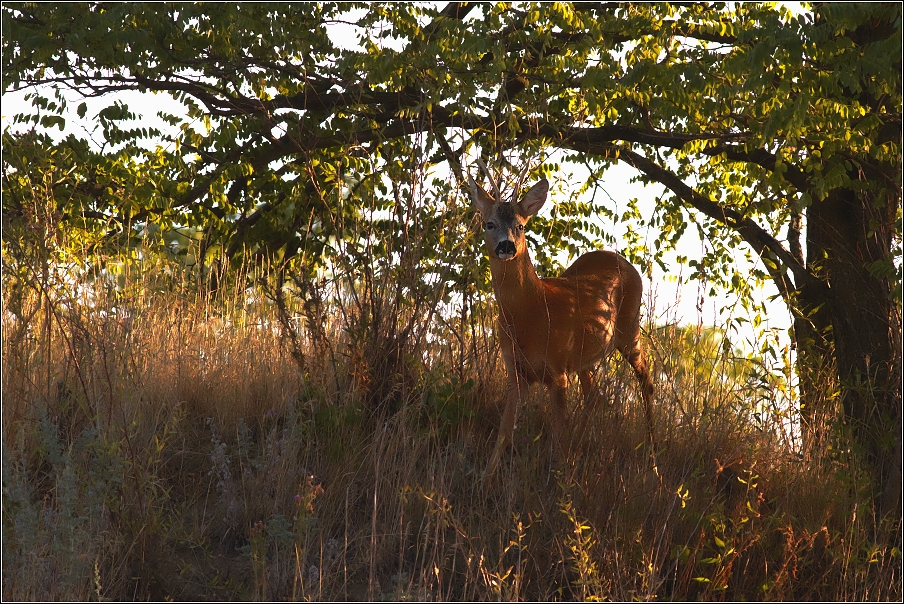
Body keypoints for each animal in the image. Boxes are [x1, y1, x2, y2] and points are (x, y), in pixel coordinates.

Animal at [470, 169, 652, 476]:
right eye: (489, 223)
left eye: (520, 226)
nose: (506, 246)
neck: (531, 314)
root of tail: (622, 260)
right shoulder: (515, 370)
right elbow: (505, 429)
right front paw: (485, 478)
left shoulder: (558, 369)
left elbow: (558, 432)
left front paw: (561, 478)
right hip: (585, 356)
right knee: (594, 395)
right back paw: (580, 453)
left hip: (630, 327)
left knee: (645, 378)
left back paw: (652, 453)